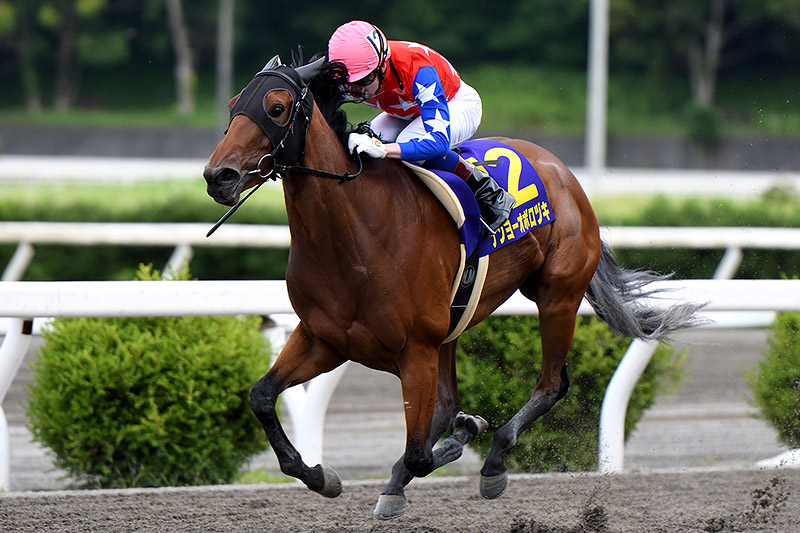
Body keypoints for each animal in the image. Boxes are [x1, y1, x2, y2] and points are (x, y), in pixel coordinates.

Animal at [203, 56, 699, 519]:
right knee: (447, 404)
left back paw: (494, 460)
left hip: (556, 295)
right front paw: (323, 477)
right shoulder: (324, 339)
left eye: (277, 108)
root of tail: (561, 170)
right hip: (451, 330)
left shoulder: (415, 349)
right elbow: (262, 397)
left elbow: (421, 452)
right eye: (232, 105)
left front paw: (468, 432)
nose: (218, 176)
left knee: (551, 384)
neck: (356, 233)